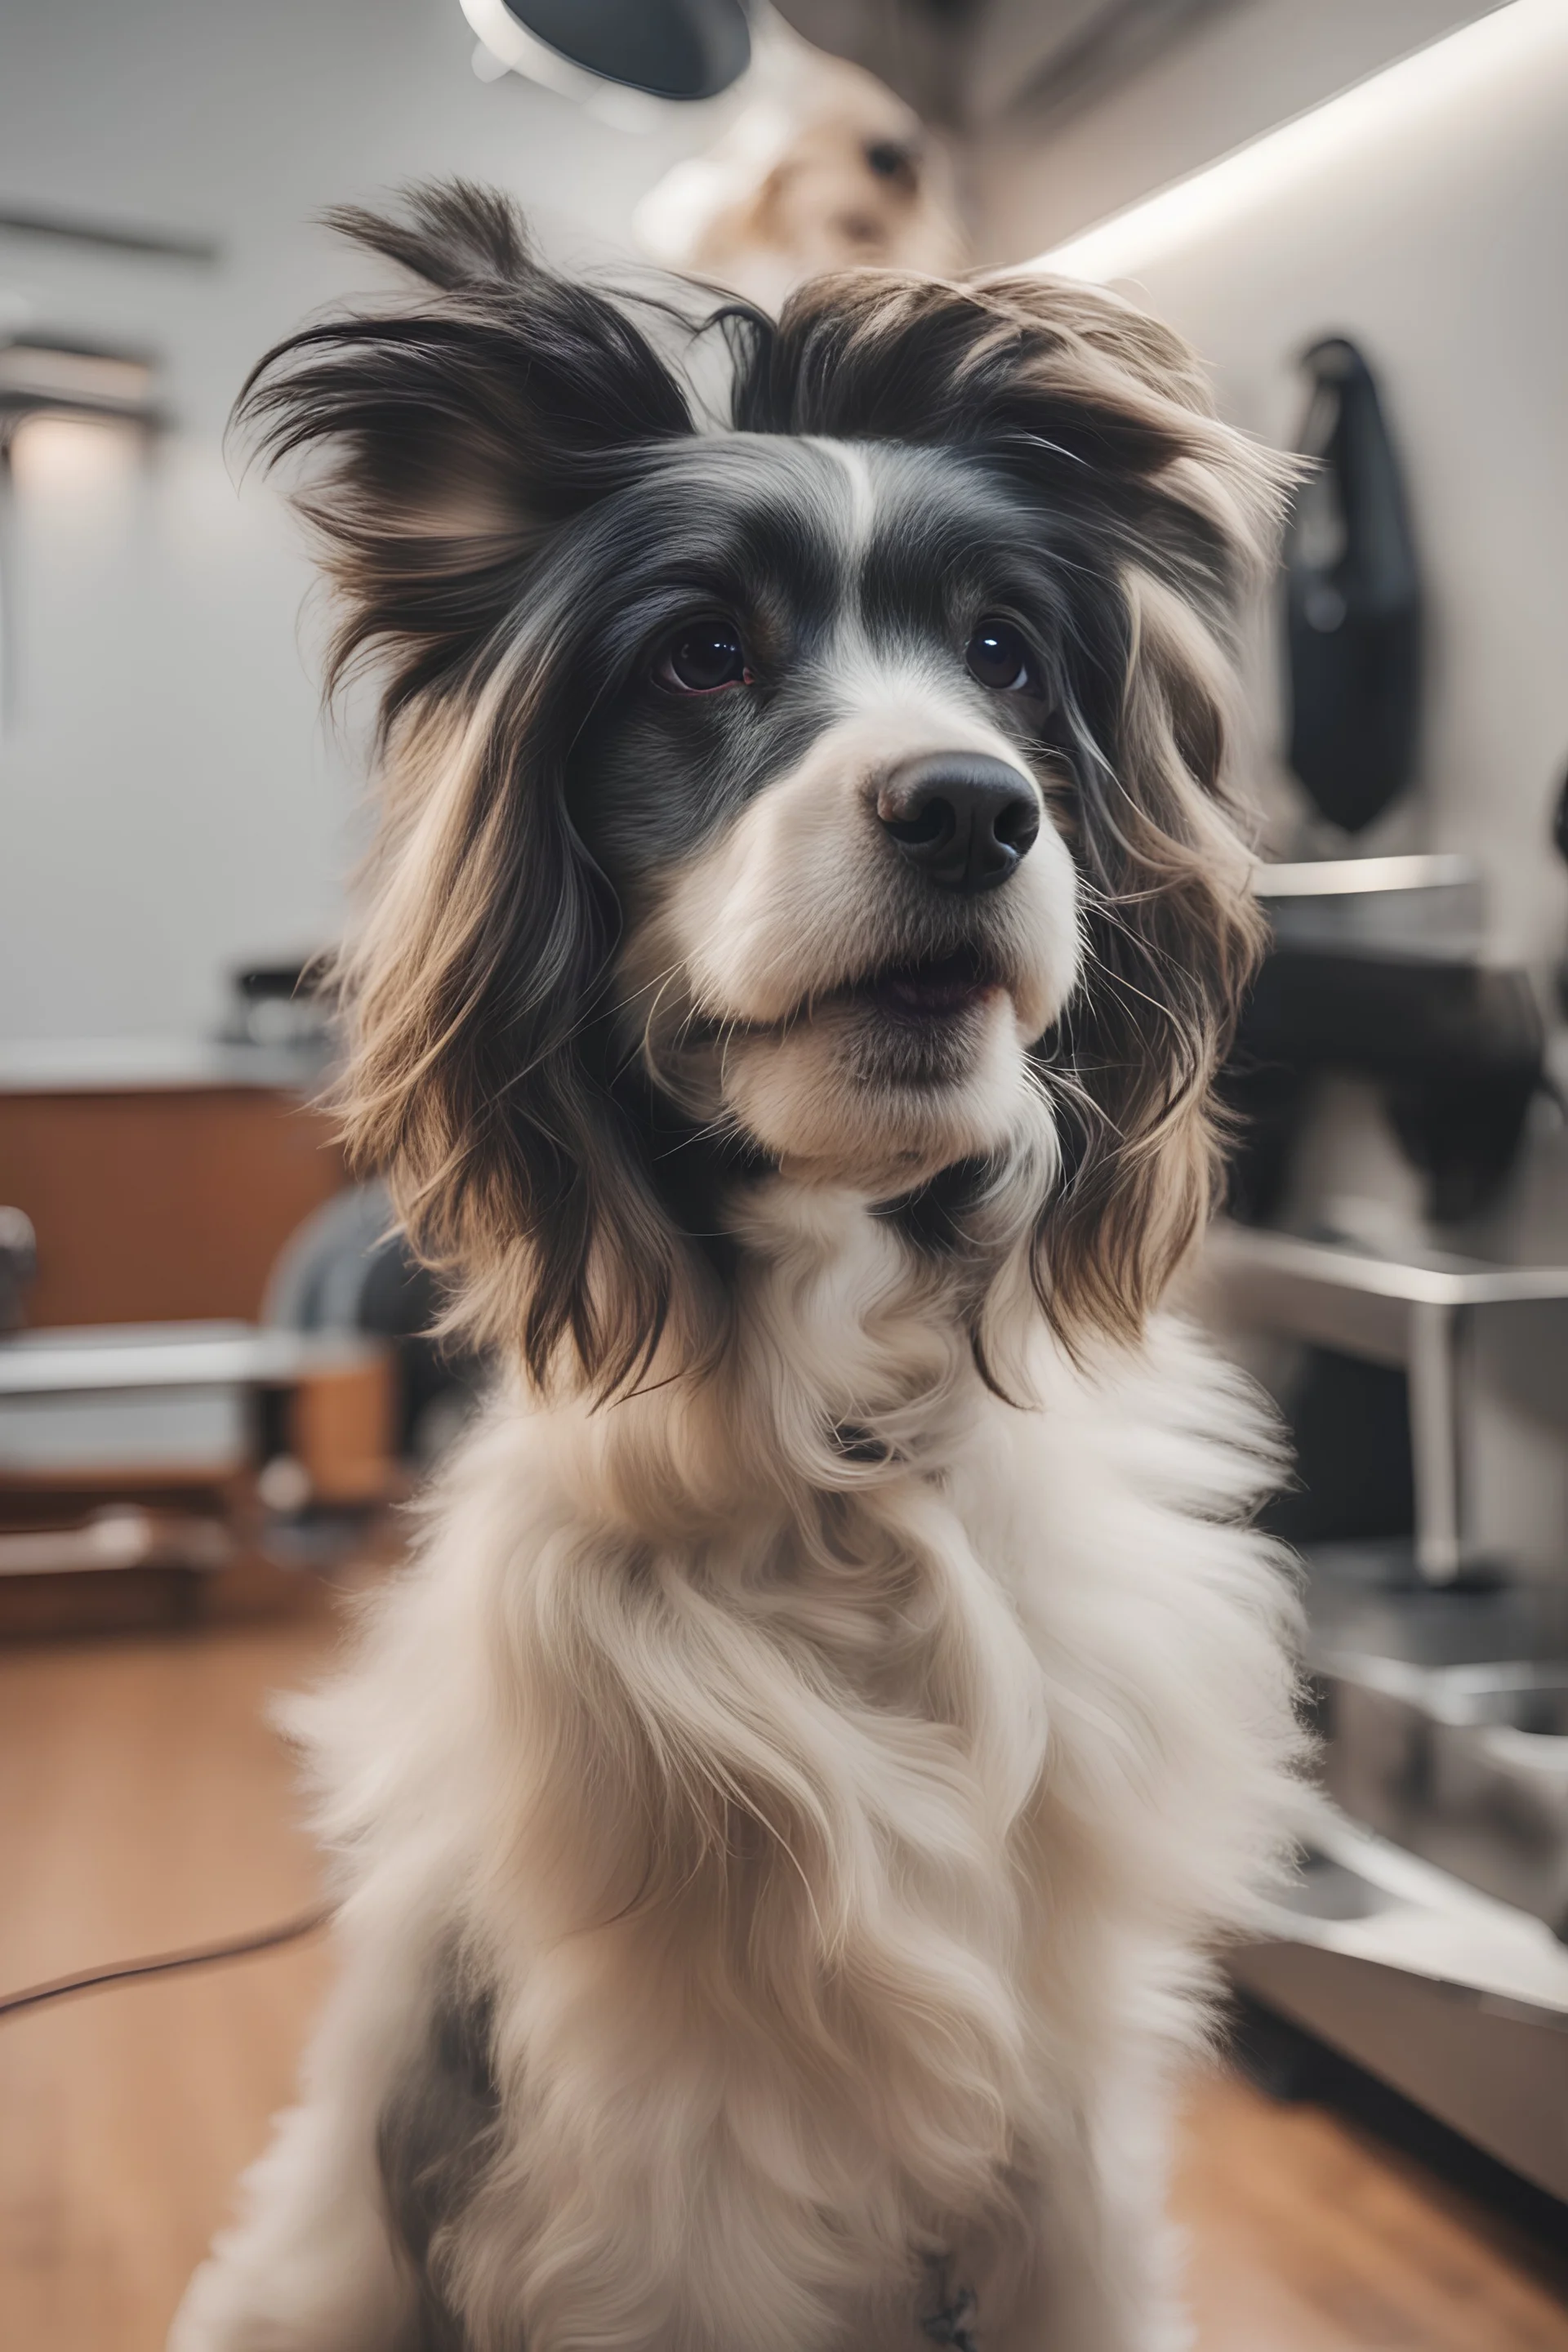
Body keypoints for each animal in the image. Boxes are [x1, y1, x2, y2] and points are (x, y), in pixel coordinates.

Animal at [172, 183, 1307, 2352]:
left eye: (1004, 657)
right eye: (702, 655)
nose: (972, 810)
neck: (850, 1471)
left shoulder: (1063, 2108)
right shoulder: (670, 2155)